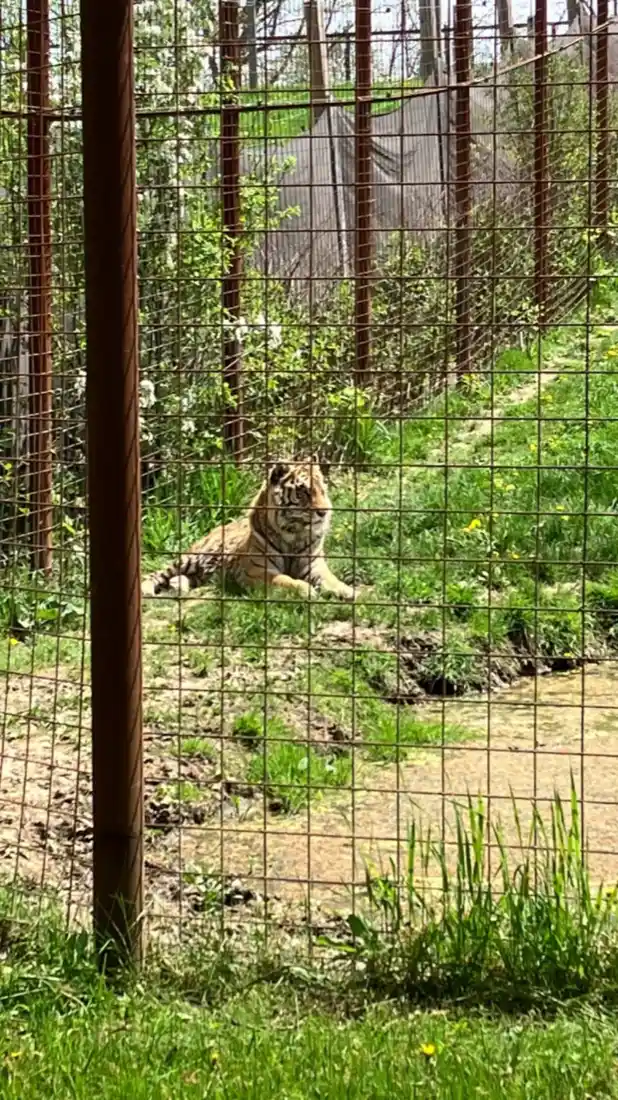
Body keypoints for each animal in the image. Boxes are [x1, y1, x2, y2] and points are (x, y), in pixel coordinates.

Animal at [141, 457, 356, 601]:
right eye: (303, 492)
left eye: (322, 490)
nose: (325, 512)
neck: (294, 534)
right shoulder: (256, 570)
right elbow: (284, 579)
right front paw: (306, 590)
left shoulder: (314, 564)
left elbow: (330, 579)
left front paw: (347, 591)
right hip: (190, 558)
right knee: (157, 574)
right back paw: (147, 589)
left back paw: (179, 586)